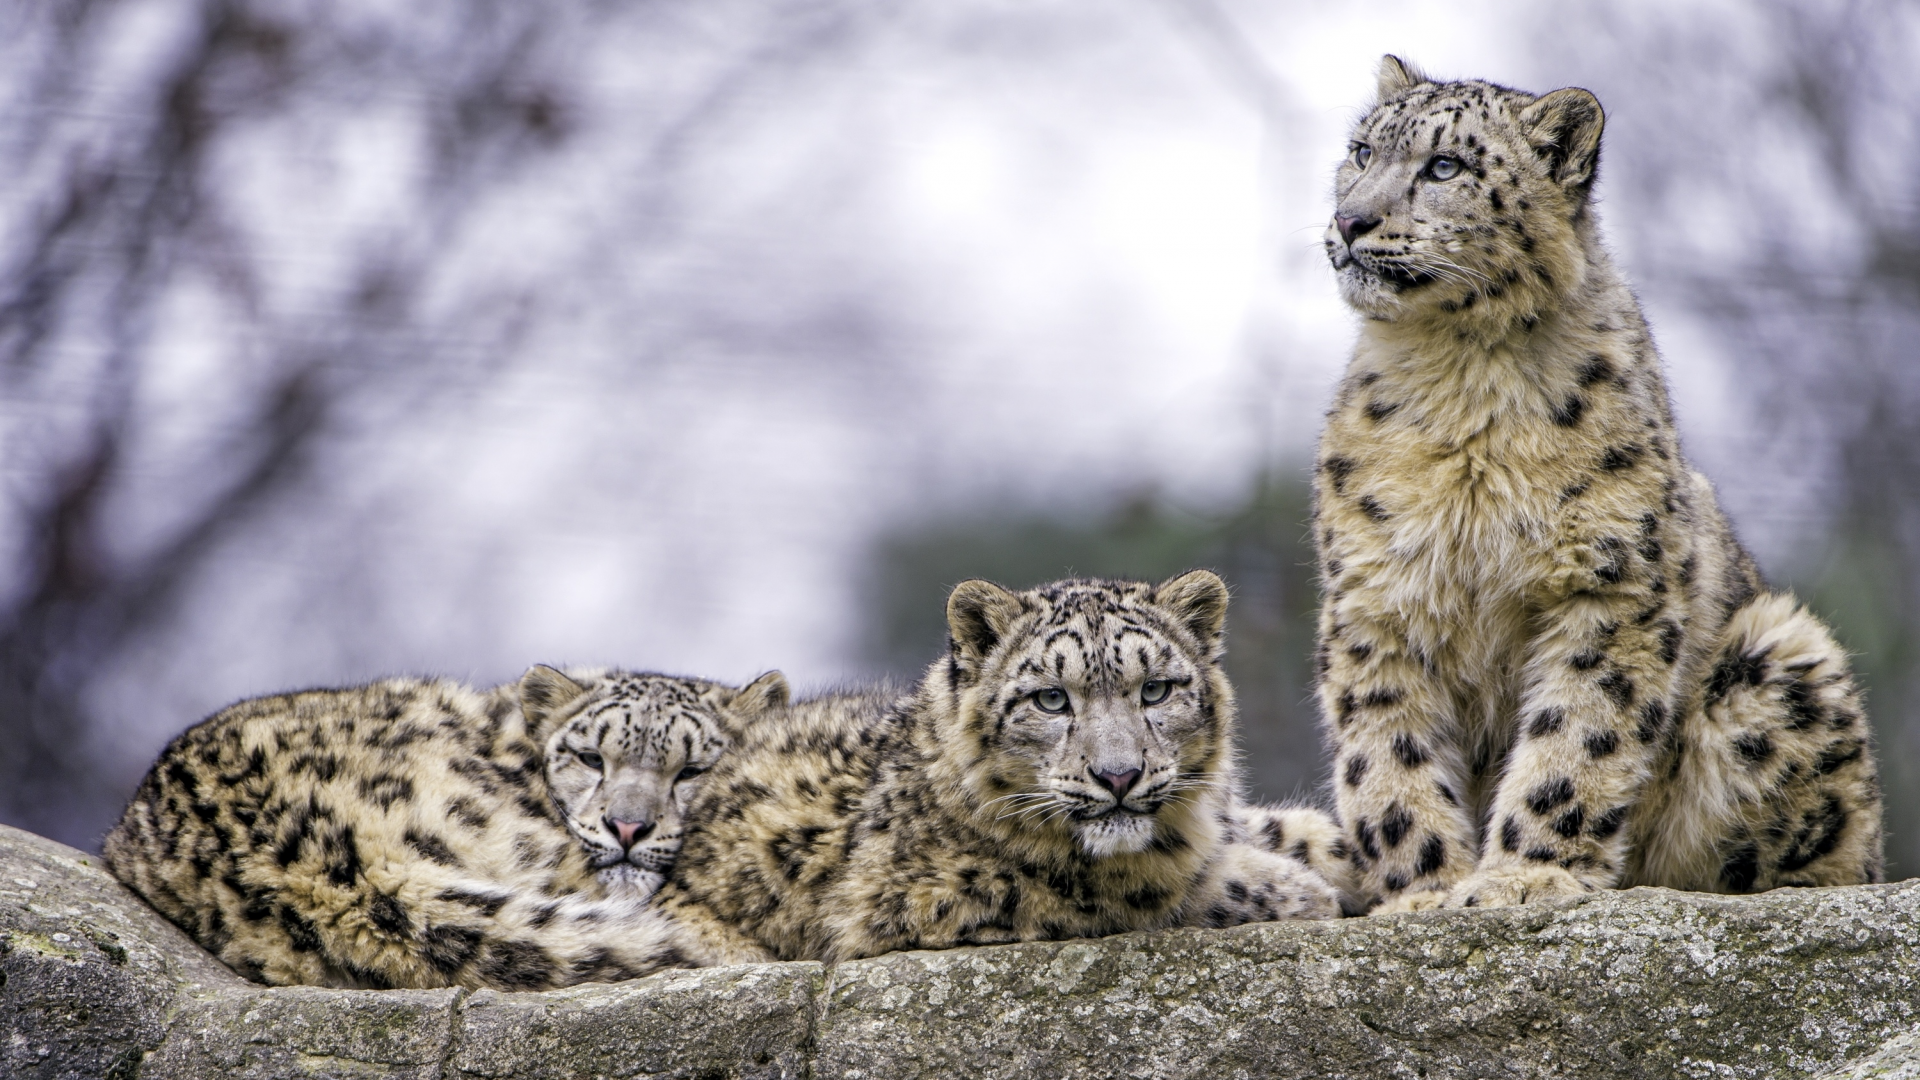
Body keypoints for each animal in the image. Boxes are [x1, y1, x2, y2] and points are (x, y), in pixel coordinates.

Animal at [641, 568, 1336, 960]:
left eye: (1156, 690)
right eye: (1051, 699)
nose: (1118, 776)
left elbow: (1286, 831)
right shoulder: (947, 892)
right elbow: (1151, 893)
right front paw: (1301, 891)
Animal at [1313, 52, 1881, 907]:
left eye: (1445, 166)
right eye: (1360, 152)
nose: (1350, 221)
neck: (1459, 385)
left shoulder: (1607, 585)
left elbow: (1578, 736)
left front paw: (1523, 878)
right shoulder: (1378, 597)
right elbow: (1386, 751)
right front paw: (1423, 892)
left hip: (1781, 655)